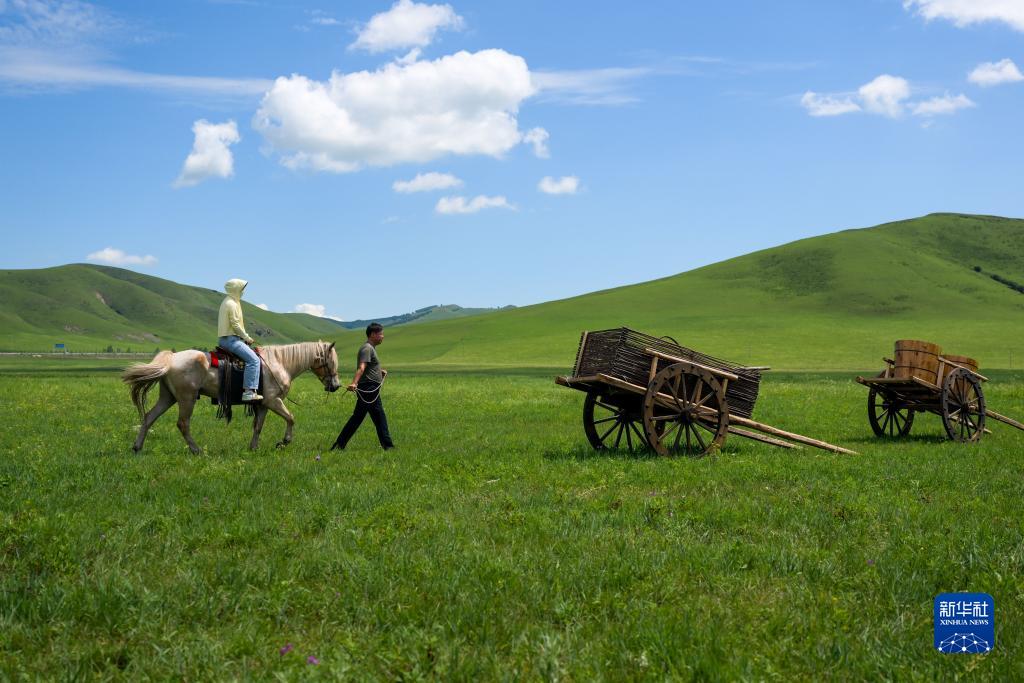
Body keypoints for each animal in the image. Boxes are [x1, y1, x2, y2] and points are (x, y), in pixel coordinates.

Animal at [122, 339, 339, 454]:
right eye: (331, 362)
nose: (336, 386)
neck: (279, 363)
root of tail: (172, 358)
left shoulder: (263, 404)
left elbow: (258, 426)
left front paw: (253, 448)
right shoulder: (273, 401)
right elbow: (291, 418)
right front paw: (284, 442)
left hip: (168, 397)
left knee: (149, 417)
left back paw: (137, 447)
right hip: (186, 398)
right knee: (182, 424)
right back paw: (197, 450)